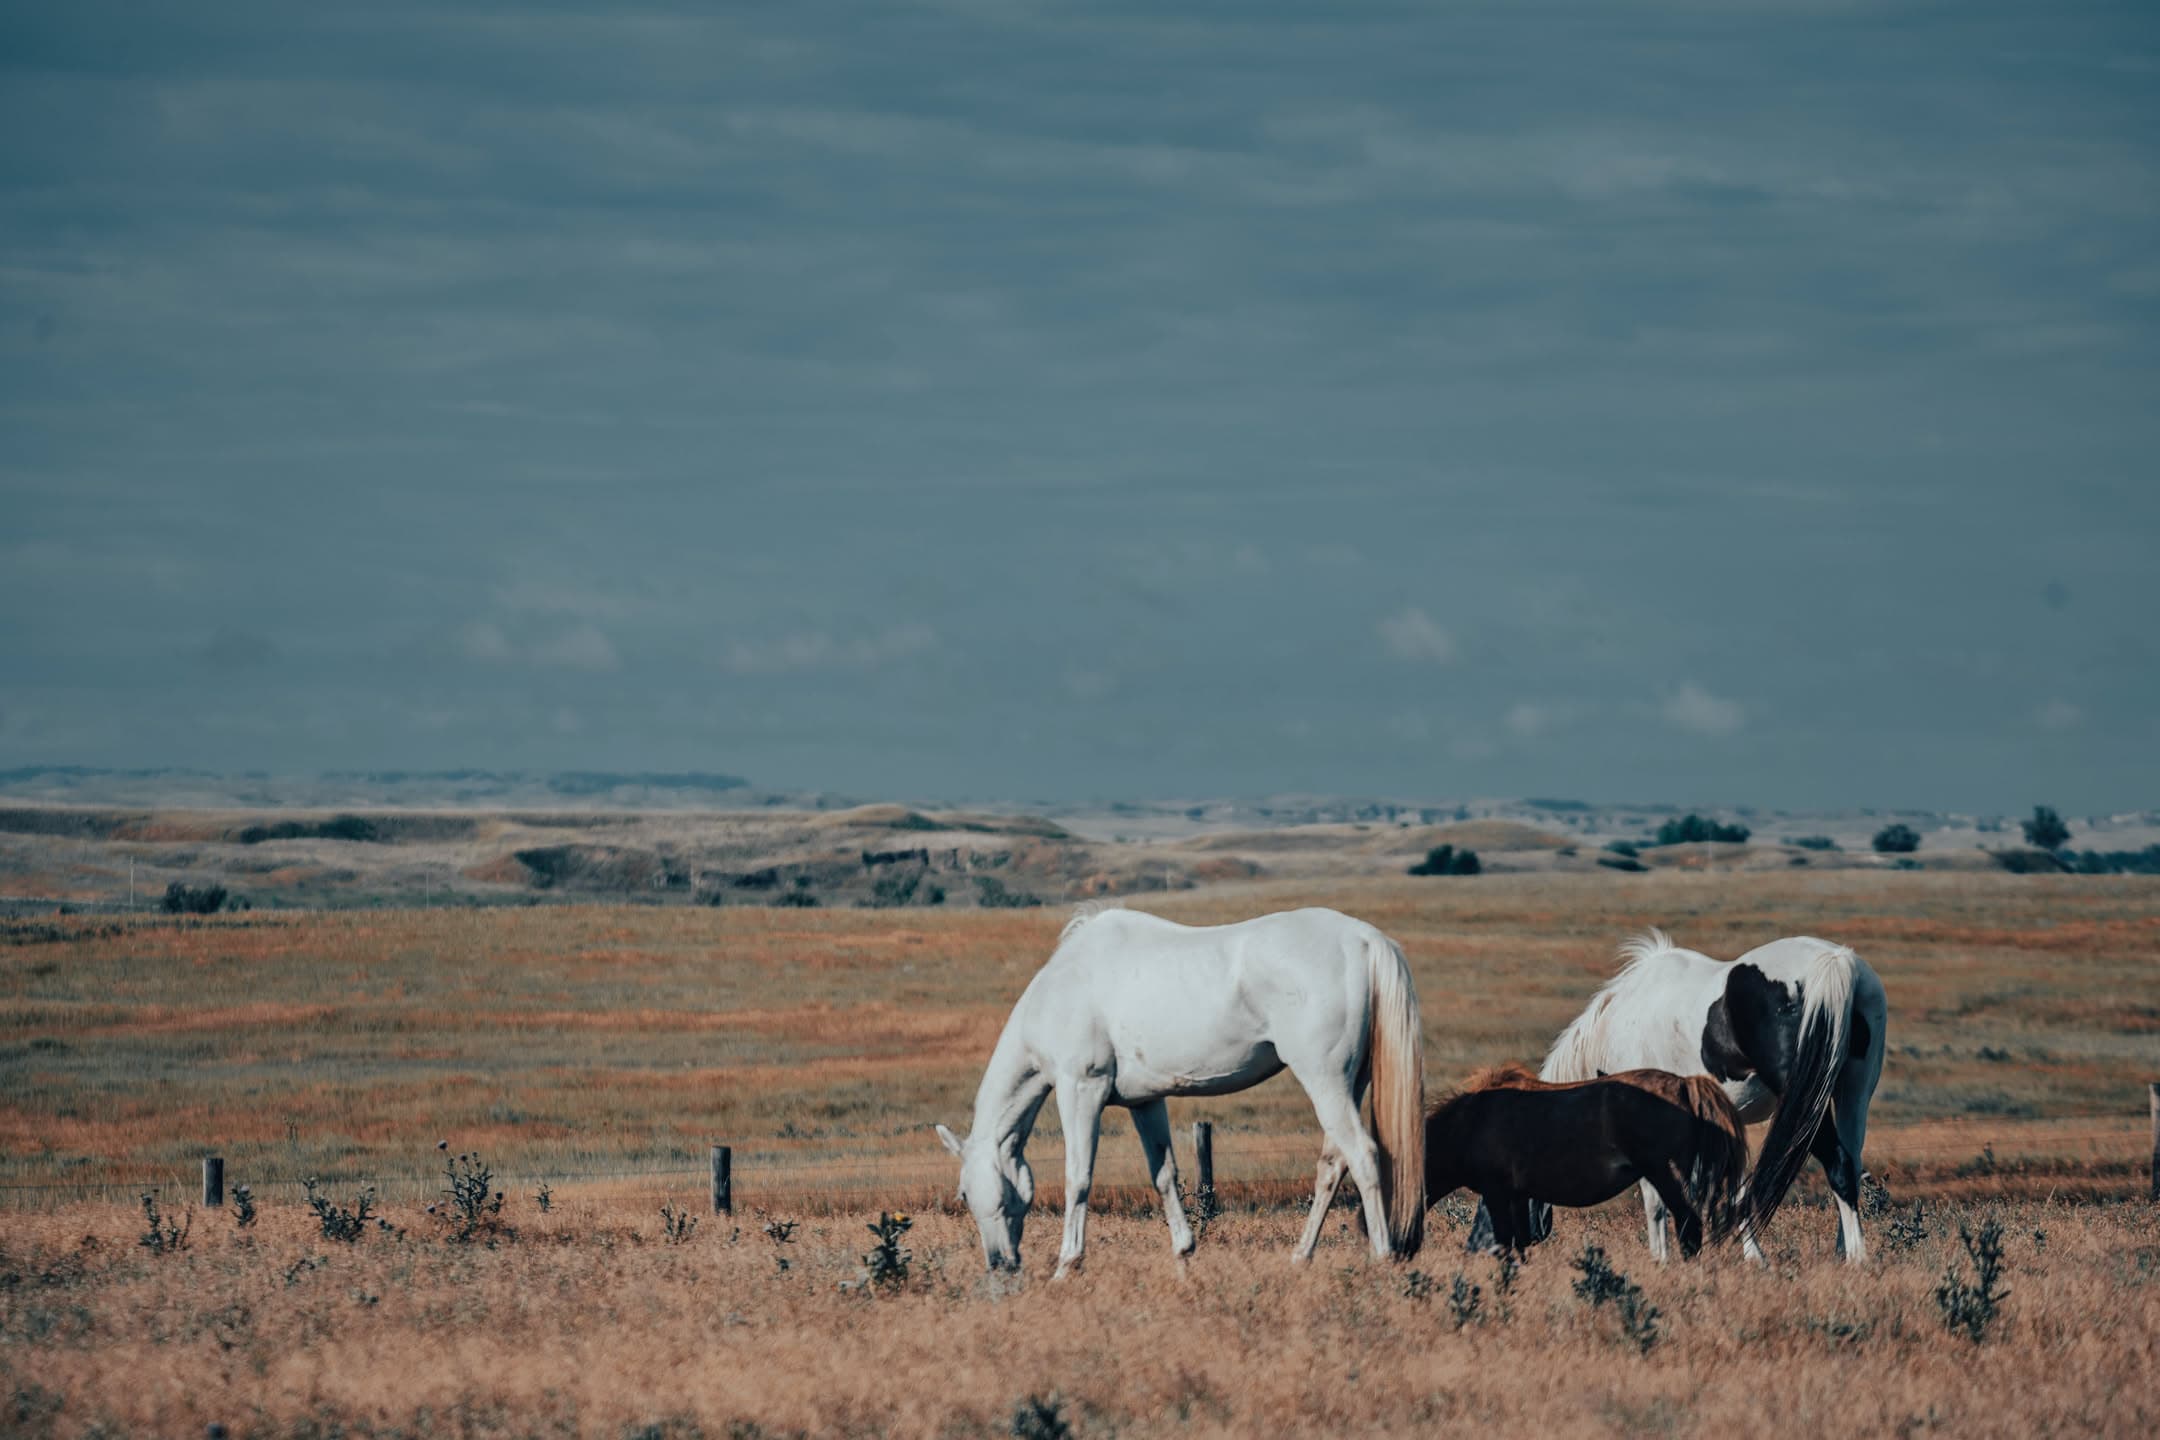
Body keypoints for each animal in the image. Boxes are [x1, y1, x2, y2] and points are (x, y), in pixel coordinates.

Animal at [935, 904, 1425, 1276]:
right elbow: (1164, 1175)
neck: (1063, 990)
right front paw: (1184, 1256)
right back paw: (1300, 1257)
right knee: (1332, 1164)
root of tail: (1362, 939)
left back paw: (1382, 1257)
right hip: (1348, 1083)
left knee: (1362, 1155)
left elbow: (1078, 1177)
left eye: (965, 1194)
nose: (999, 1263)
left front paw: (1066, 1265)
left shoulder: (1081, 1090)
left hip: (1323, 1079)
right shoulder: (1146, 1101)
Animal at [1425, 1064, 1747, 1257]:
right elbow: (1520, 1247)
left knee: (1689, 1228)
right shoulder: (1516, 1197)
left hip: (1667, 1177)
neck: (1470, 1122)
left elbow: (1505, 1247)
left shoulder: (1497, 1193)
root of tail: (1684, 1085)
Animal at [1473, 928, 1886, 1264]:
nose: (1481, 1247)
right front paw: (1748, 1256)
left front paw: (1662, 1259)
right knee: (1851, 1164)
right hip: (1851, 1094)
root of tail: (1836, 962)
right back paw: (1842, 1253)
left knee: (1838, 1166)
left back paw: (1856, 1259)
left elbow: (1656, 1198)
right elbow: (1730, 1190)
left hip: (1806, 1106)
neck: (1615, 1024)